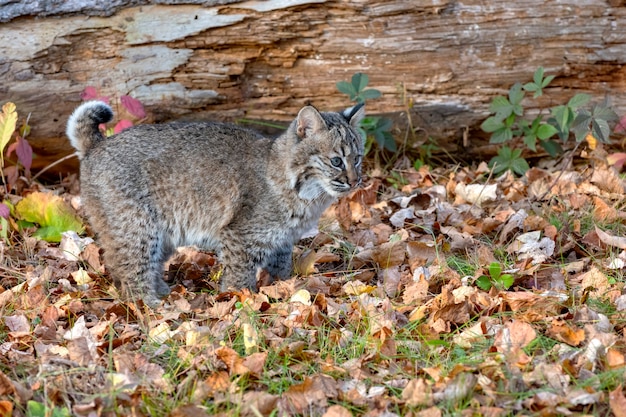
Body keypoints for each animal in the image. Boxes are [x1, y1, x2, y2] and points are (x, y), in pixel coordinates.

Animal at [66, 99, 364, 304]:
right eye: (336, 161)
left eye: (358, 158)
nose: (355, 181)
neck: (306, 194)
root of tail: (97, 145)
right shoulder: (239, 236)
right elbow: (240, 276)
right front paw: (241, 302)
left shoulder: (282, 240)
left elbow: (280, 269)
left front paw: (284, 289)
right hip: (136, 226)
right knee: (128, 270)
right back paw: (150, 306)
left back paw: (163, 292)